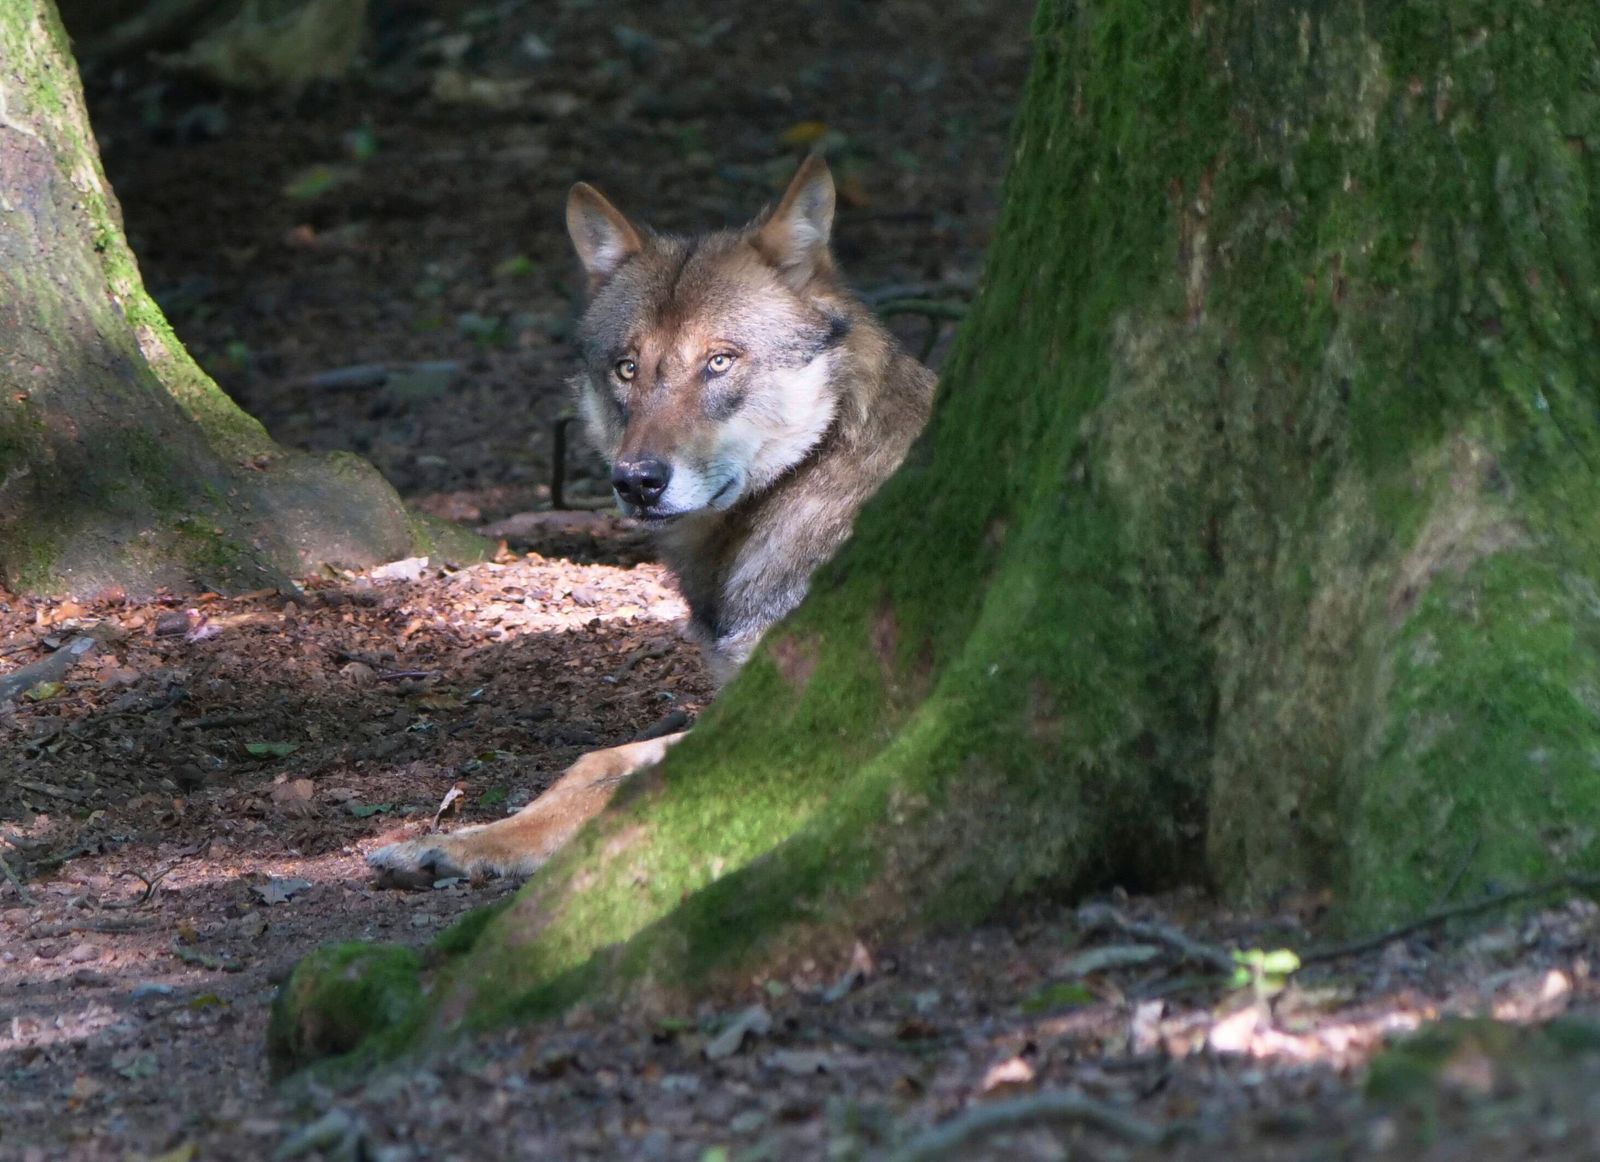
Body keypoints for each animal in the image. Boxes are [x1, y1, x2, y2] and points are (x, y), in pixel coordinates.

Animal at [366, 159, 934, 889]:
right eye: (627, 368)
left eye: (719, 360)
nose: (636, 482)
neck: (813, 477)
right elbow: (597, 762)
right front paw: (454, 839)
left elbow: (626, 792)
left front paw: (469, 849)